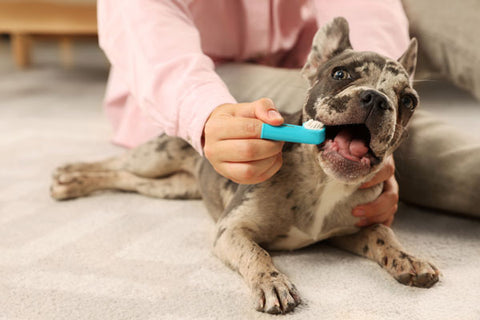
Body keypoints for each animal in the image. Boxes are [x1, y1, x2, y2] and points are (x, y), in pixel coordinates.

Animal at [51, 17, 438, 316]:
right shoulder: (232, 230)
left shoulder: (354, 228)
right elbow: (257, 252)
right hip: (156, 157)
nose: (376, 98)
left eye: (408, 101)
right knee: (115, 162)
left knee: (124, 178)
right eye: (340, 74)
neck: (320, 180)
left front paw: (410, 258)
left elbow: (384, 235)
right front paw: (273, 283)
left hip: (169, 187)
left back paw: (73, 182)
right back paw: (70, 174)